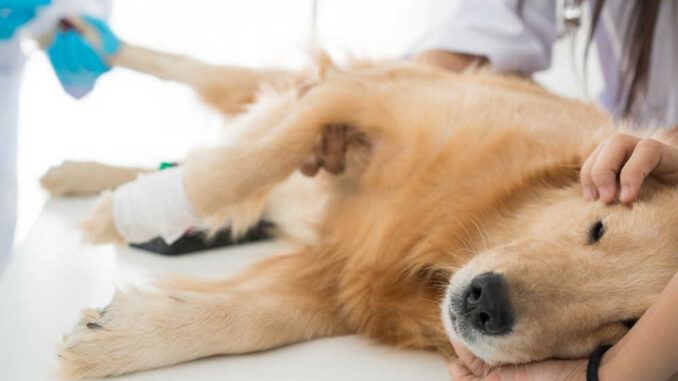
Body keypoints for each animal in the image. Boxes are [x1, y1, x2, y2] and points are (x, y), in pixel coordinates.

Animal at [45, 18, 678, 380]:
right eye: (598, 226)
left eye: (623, 329)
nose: (486, 305)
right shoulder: (360, 98)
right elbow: (239, 168)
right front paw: (118, 220)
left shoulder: (342, 283)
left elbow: (258, 318)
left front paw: (116, 338)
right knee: (190, 72)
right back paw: (77, 46)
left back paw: (78, 175)